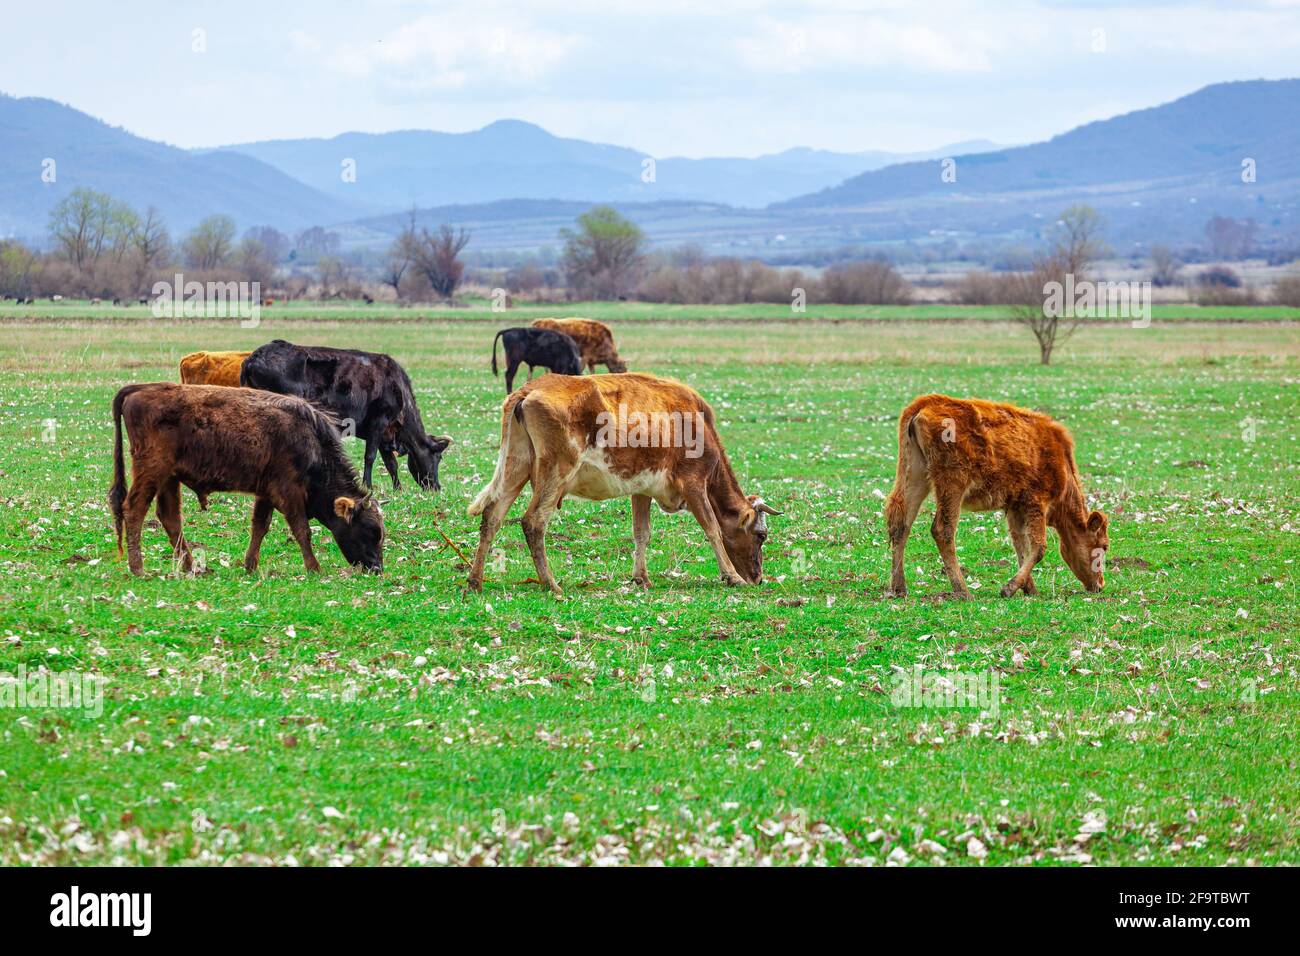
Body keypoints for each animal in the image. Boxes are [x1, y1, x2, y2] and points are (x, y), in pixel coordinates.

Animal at [109, 383, 385, 576]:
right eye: (371, 530)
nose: (376, 568)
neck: (310, 441)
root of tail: (140, 388)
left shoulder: (266, 493)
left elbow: (260, 526)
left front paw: (250, 565)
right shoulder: (289, 492)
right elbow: (301, 530)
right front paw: (314, 568)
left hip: (169, 478)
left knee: (169, 517)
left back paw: (191, 567)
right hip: (152, 471)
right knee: (134, 509)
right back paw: (138, 568)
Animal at [241, 340, 451, 492]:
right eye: (438, 457)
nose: (437, 487)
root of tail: (253, 358)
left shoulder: (385, 434)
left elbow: (391, 463)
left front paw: (397, 488)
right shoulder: (379, 420)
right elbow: (370, 456)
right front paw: (367, 486)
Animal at [467, 372, 781, 594]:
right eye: (761, 536)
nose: (758, 578)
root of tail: (529, 389)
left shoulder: (642, 488)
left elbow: (641, 533)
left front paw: (641, 577)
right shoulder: (694, 483)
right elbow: (713, 529)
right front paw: (732, 576)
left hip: (516, 467)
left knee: (492, 516)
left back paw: (475, 581)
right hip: (555, 472)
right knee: (534, 521)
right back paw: (551, 584)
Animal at [884, 394, 1110, 600]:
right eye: (1104, 546)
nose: (1100, 585)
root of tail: (925, 402)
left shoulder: (1015, 506)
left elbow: (1021, 545)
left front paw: (1028, 588)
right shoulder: (1036, 501)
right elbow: (1038, 546)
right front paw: (1009, 588)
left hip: (915, 475)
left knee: (900, 524)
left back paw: (899, 588)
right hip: (952, 482)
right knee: (943, 530)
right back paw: (963, 591)